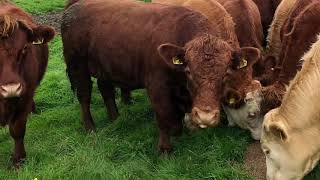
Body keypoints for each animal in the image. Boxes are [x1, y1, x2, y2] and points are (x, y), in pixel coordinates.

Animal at [61, 0, 258, 152]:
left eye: (225, 73)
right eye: (188, 71)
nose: (205, 117)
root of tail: (74, 7)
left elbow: (177, 115)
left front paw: (177, 132)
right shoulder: (157, 87)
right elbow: (164, 116)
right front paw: (165, 148)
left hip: (104, 66)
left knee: (106, 89)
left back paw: (114, 117)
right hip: (77, 66)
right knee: (84, 96)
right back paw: (90, 127)